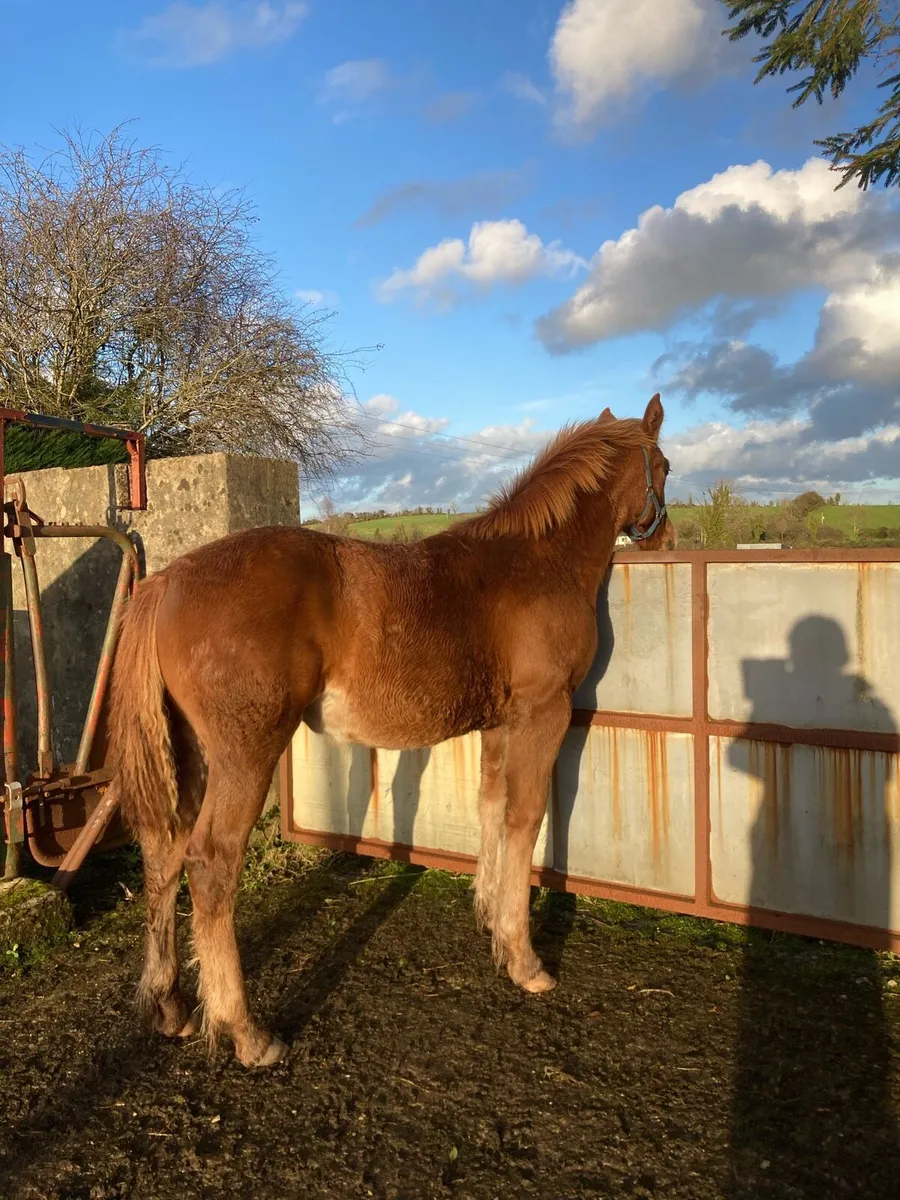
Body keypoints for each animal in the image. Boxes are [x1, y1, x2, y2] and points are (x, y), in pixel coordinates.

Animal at [108, 393, 675, 1067]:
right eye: (666, 465)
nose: (667, 538)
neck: (535, 562)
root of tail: (167, 580)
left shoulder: (500, 726)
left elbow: (492, 810)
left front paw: (491, 924)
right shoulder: (544, 714)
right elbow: (525, 818)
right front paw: (525, 959)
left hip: (192, 756)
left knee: (165, 853)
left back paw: (171, 1008)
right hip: (246, 756)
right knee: (210, 863)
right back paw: (247, 1032)